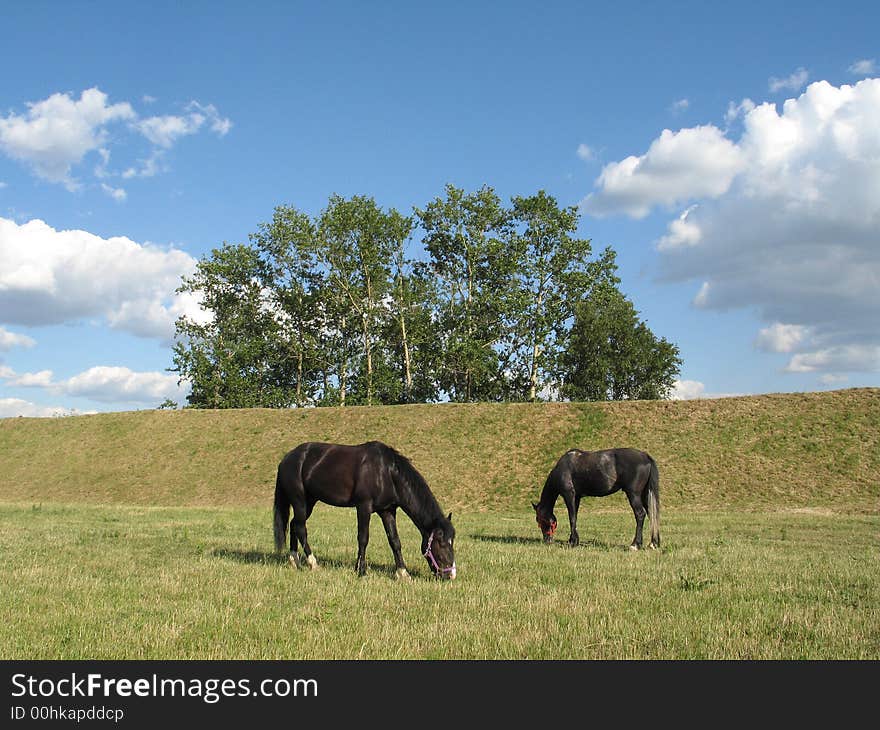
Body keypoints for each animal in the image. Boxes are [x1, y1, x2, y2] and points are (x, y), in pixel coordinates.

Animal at [272, 440, 458, 576]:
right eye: (441, 543)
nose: (451, 574)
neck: (386, 472)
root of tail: (286, 459)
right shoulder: (363, 507)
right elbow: (363, 538)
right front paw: (360, 570)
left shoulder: (388, 511)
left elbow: (394, 541)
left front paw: (403, 573)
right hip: (300, 501)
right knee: (300, 527)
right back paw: (312, 563)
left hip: (309, 502)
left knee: (294, 524)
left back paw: (294, 561)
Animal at [528, 446, 660, 548]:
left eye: (539, 519)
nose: (547, 540)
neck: (563, 467)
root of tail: (645, 456)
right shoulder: (577, 498)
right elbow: (575, 517)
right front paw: (573, 540)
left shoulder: (569, 495)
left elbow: (572, 518)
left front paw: (572, 542)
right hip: (645, 495)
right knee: (652, 513)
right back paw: (654, 543)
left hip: (634, 494)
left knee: (640, 514)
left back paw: (635, 544)